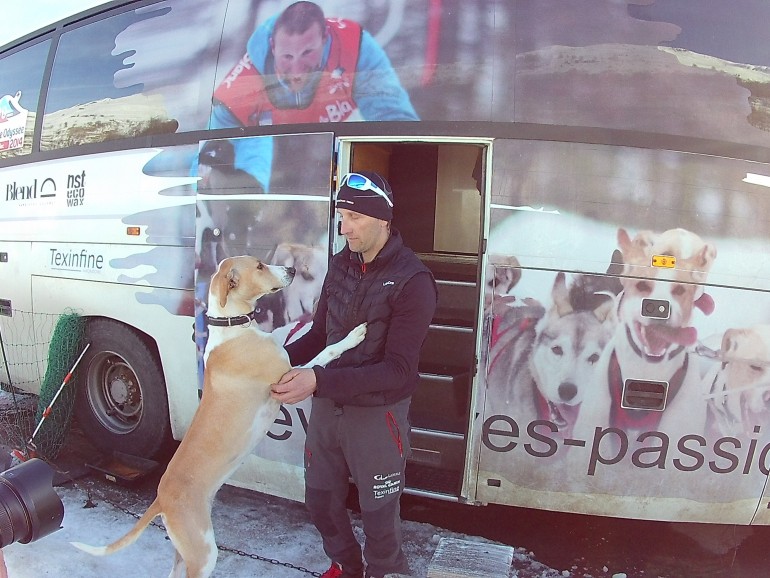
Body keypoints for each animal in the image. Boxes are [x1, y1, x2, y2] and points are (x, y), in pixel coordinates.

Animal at [70, 255, 364, 576]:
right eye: (259, 266)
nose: (292, 270)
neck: (232, 327)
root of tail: (160, 500)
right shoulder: (287, 378)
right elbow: (326, 353)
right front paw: (353, 336)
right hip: (203, 554)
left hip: (185, 551)